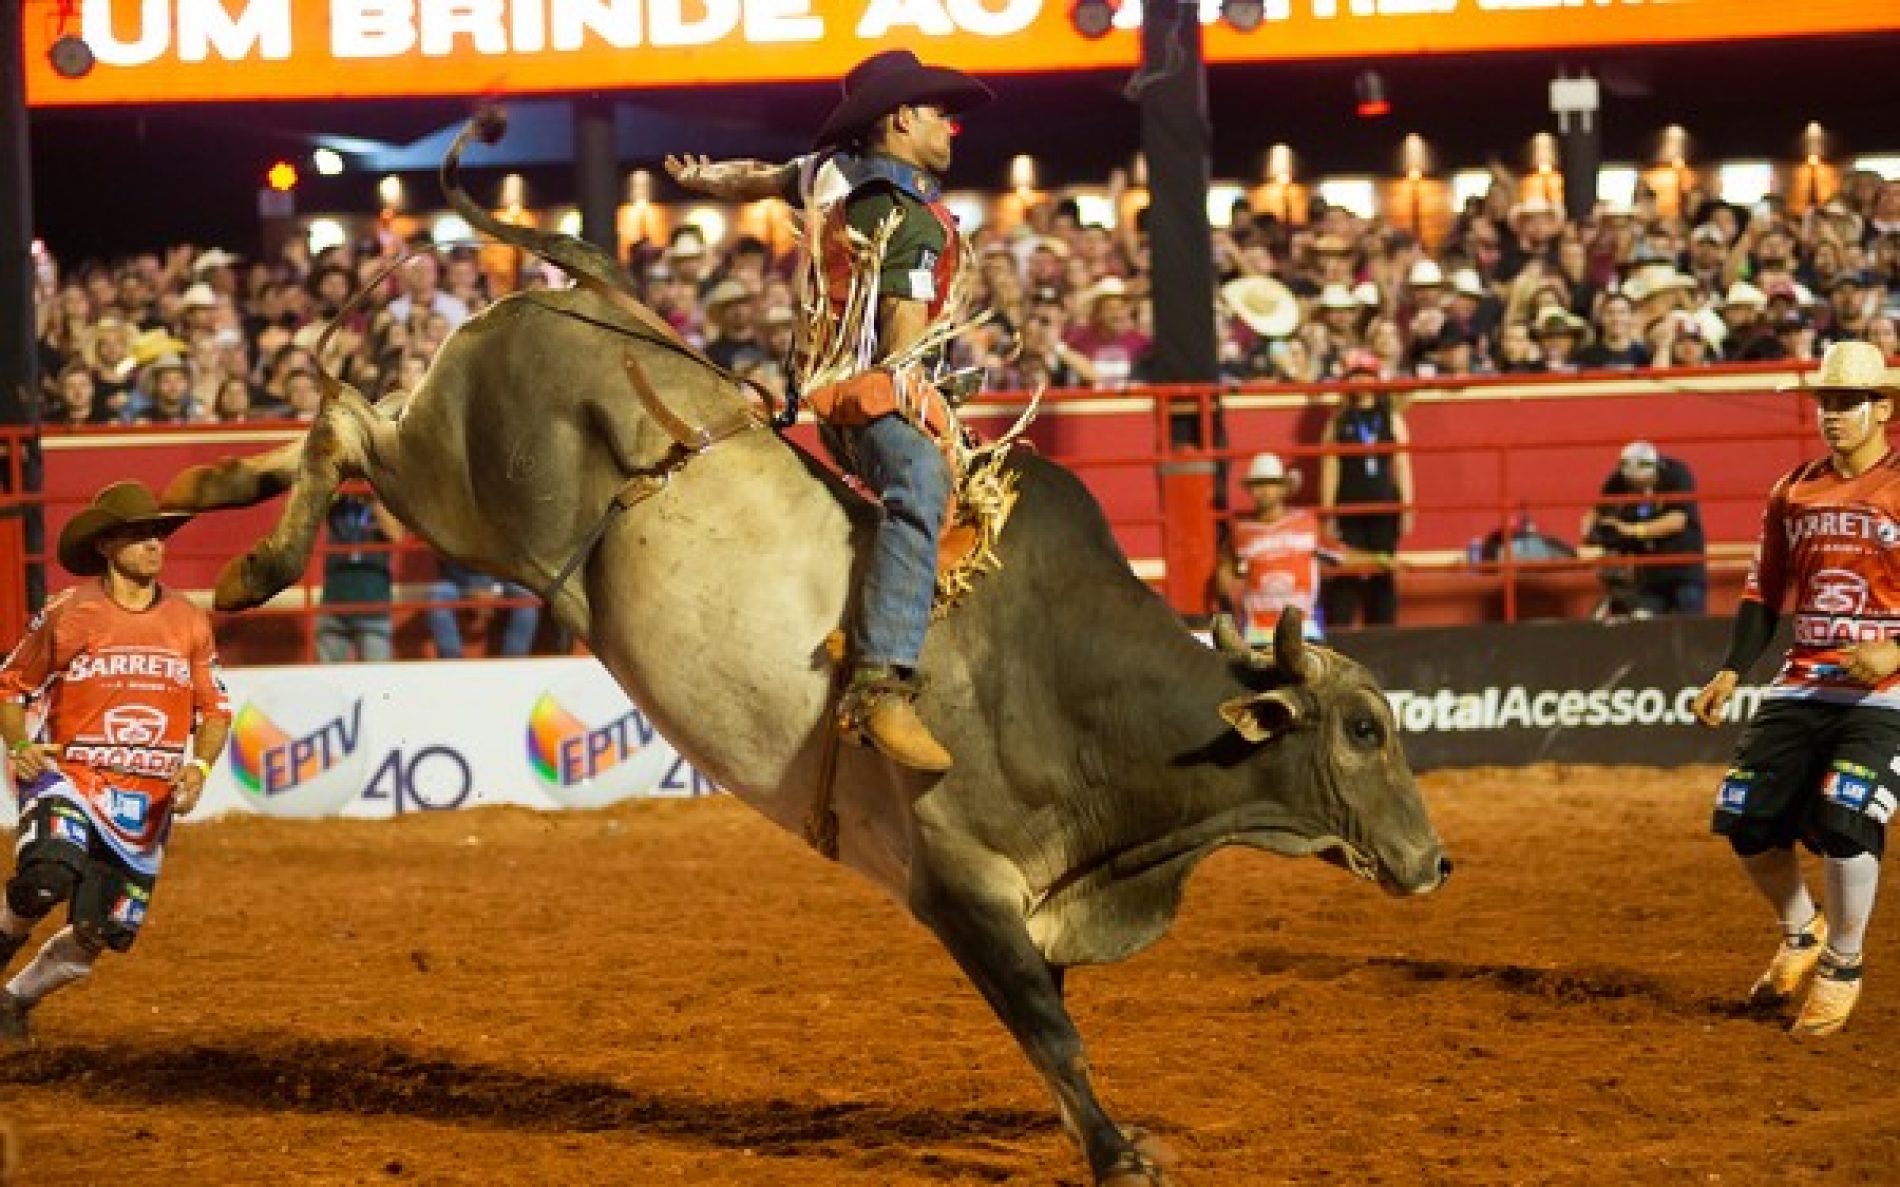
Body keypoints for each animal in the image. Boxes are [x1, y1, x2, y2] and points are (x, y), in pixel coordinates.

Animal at [167, 113, 1451, 1185]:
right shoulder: (958, 884)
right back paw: (243, 563)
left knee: (320, 432)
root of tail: (579, 294)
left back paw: (160, 505)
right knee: (342, 421)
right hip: (459, 498)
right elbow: (1049, 1028)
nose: (1435, 863)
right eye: (1364, 727)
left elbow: (1052, 1025)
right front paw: (1121, 1153)